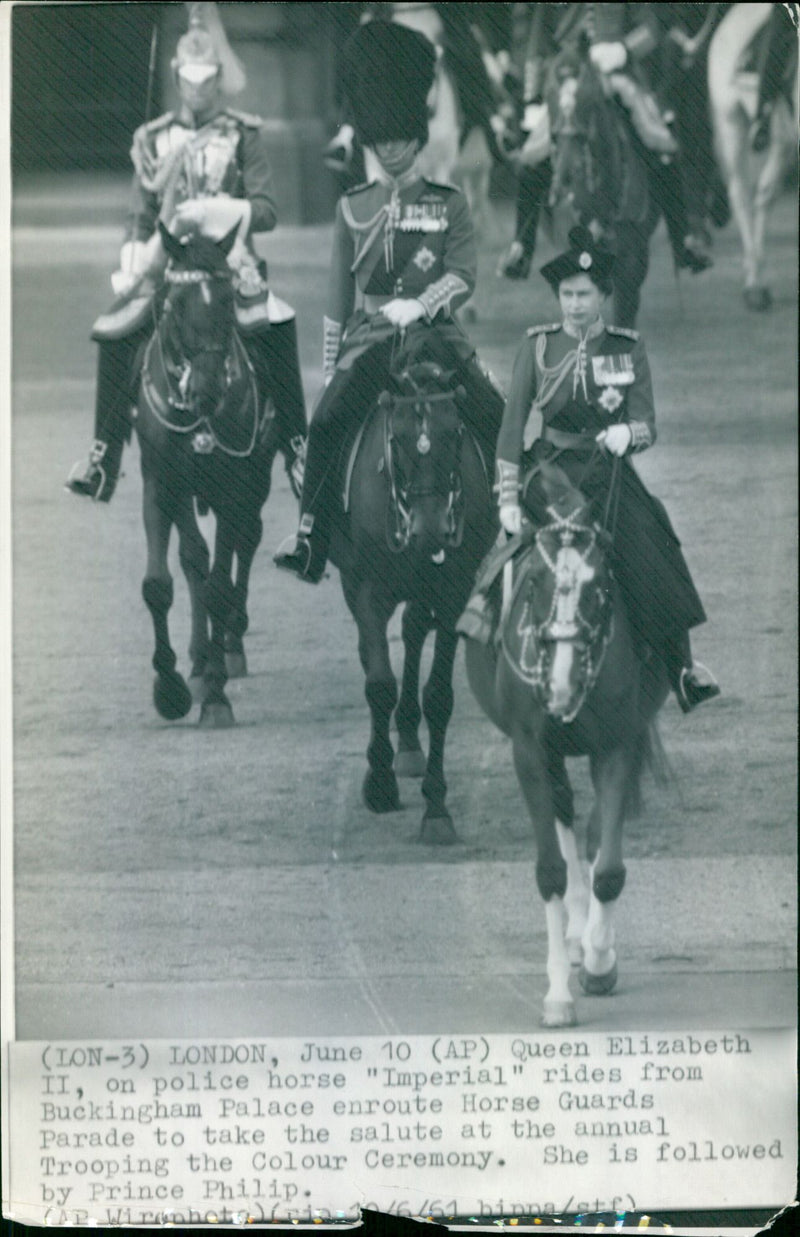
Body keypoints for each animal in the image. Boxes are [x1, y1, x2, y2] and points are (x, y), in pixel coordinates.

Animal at [138, 221, 284, 722]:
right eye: (176, 302)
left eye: (226, 299)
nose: (207, 390)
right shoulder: (162, 485)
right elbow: (163, 581)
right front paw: (170, 687)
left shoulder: (232, 487)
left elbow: (220, 583)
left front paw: (217, 694)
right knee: (194, 561)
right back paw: (200, 661)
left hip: (256, 481)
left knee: (247, 539)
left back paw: (230, 646)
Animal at [331, 324, 494, 846]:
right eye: (397, 438)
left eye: (456, 431)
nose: (430, 533)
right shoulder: (367, 590)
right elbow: (378, 683)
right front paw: (379, 783)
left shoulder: (452, 591)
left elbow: (438, 696)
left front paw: (436, 808)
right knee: (376, 654)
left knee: (415, 631)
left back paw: (407, 741)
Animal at [462, 455, 667, 1024]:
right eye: (534, 582)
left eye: (599, 587)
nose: (560, 687)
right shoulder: (530, 752)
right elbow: (551, 870)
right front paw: (558, 992)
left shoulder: (617, 746)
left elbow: (610, 868)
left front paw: (600, 962)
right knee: (564, 813)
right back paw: (575, 933)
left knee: (592, 831)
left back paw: (591, 938)